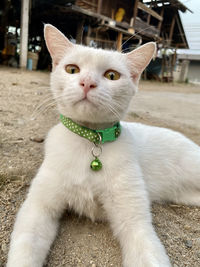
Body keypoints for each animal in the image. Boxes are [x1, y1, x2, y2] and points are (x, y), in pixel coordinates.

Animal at [6, 23, 200, 267]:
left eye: (112, 75)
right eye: (72, 69)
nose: (87, 83)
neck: (90, 140)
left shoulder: (135, 221)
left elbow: (146, 252)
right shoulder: (38, 208)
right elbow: (25, 249)